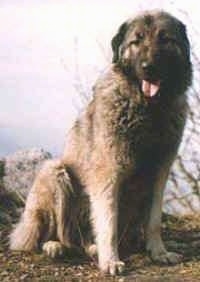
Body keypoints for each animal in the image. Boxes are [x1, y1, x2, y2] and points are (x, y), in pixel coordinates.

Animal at [9, 10, 192, 276]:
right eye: (136, 41)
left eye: (165, 39)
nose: (148, 67)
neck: (147, 109)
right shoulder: (108, 174)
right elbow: (108, 222)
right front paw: (110, 260)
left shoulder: (160, 173)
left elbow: (154, 220)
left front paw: (159, 252)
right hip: (54, 171)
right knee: (50, 235)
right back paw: (55, 246)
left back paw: (95, 247)